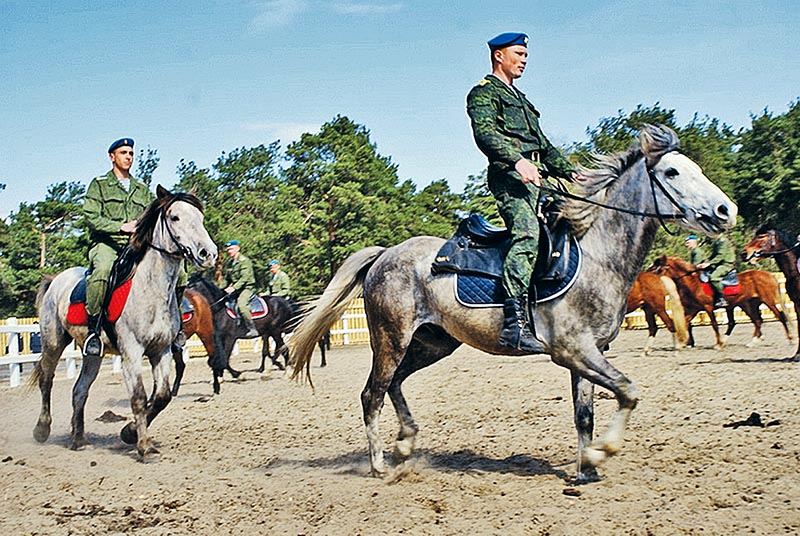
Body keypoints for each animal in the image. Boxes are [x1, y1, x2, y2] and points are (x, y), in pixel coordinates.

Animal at [31, 186, 217, 458]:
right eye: (175, 217)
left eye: (201, 218)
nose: (208, 254)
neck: (150, 289)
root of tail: (56, 279)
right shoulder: (132, 352)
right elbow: (139, 397)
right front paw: (143, 445)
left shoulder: (161, 351)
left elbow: (161, 396)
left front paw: (129, 432)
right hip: (53, 343)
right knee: (47, 379)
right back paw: (42, 429)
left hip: (93, 354)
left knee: (80, 390)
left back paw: (79, 439)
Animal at [288, 125, 736, 482]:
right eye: (672, 172)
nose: (725, 210)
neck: (594, 254)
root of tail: (385, 255)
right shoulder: (572, 350)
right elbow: (628, 390)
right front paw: (600, 453)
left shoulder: (591, 352)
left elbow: (585, 414)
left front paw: (585, 471)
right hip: (390, 339)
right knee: (373, 394)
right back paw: (380, 464)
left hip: (433, 343)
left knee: (395, 384)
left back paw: (405, 445)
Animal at [648, 254, 792, 348]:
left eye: (658, 268)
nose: (648, 277)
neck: (693, 282)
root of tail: (769, 274)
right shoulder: (694, 309)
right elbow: (685, 322)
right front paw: (683, 342)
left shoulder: (708, 308)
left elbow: (714, 325)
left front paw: (718, 343)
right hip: (750, 304)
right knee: (757, 321)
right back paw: (752, 342)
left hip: (768, 301)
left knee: (779, 316)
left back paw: (790, 339)